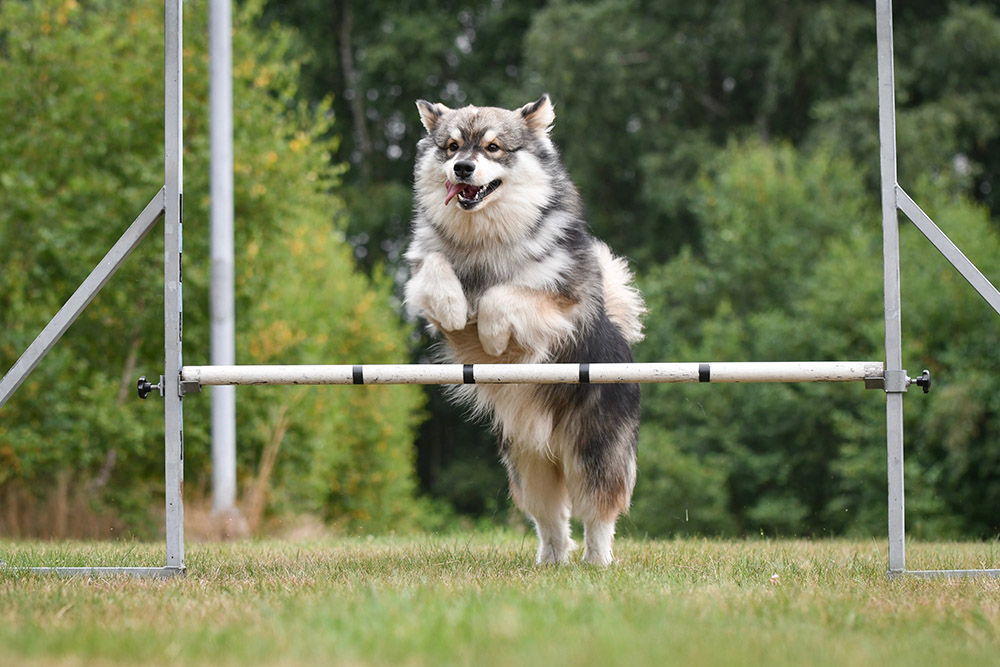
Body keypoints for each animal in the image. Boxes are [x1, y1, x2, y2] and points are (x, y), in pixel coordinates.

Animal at [402, 92, 644, 564]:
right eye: (452, 147)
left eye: (493, 147)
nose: (462, 168)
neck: (482, 239)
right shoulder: (422, 274)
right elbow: (437, 268)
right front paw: (455, 306)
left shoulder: (564, 303)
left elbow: (503, 295)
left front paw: (493, 335)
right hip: (529, 464)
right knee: (551, 518)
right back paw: (550, 561)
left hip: (593, 452)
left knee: (597, 511)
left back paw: (597, 561)